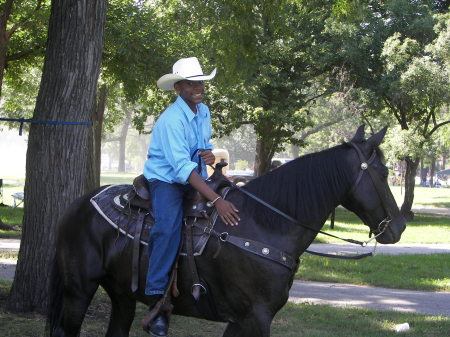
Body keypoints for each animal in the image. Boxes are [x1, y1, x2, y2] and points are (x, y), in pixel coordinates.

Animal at [47, 126, 406, 336]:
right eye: (384, 172)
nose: (399, 227)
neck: (263, 225)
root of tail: (75, 207)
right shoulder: (256, 319)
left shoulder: (240, 320)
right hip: (78, 291)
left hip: (122, 296)